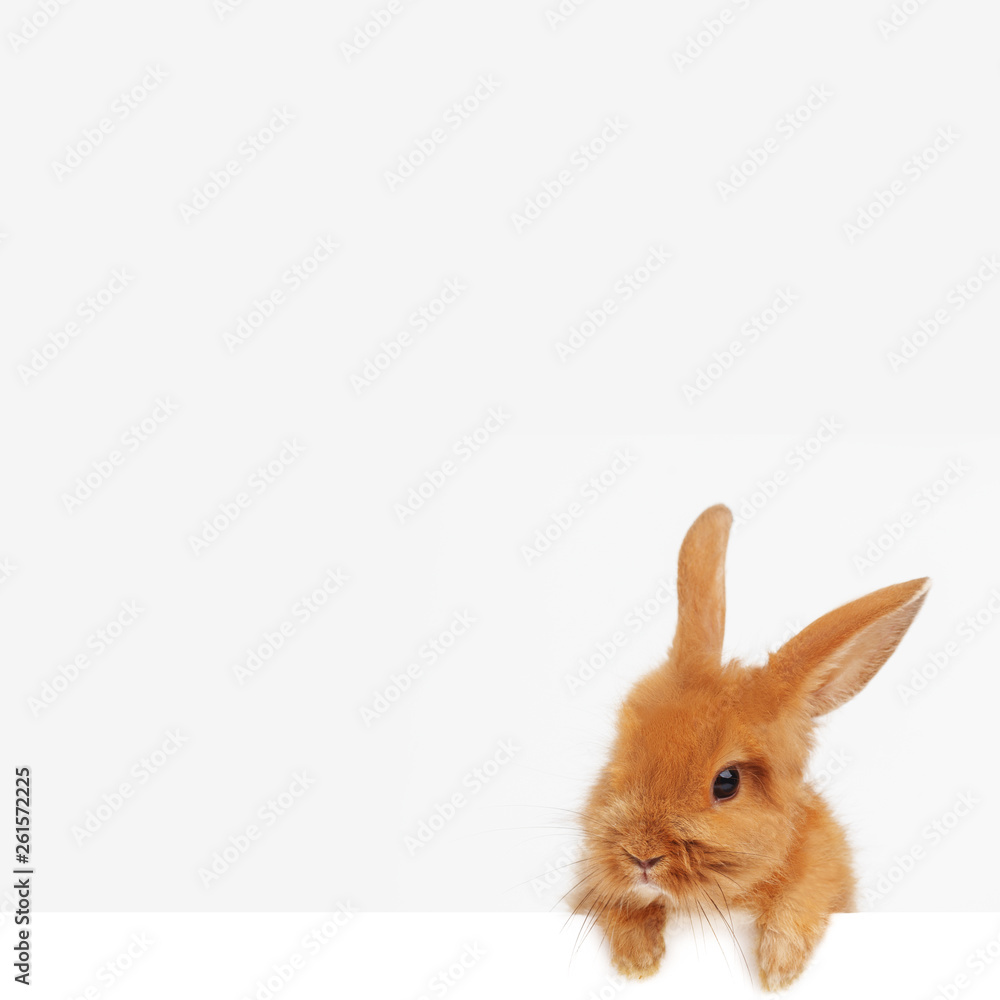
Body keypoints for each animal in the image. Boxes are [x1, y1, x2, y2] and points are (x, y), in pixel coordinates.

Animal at [569, 504, 929, 991]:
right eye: (620, 753)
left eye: (727, 782)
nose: (641, 855)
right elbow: (617, 903)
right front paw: (638, 960)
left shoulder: (825, 872)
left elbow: (802, 899)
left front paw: (778, 970)